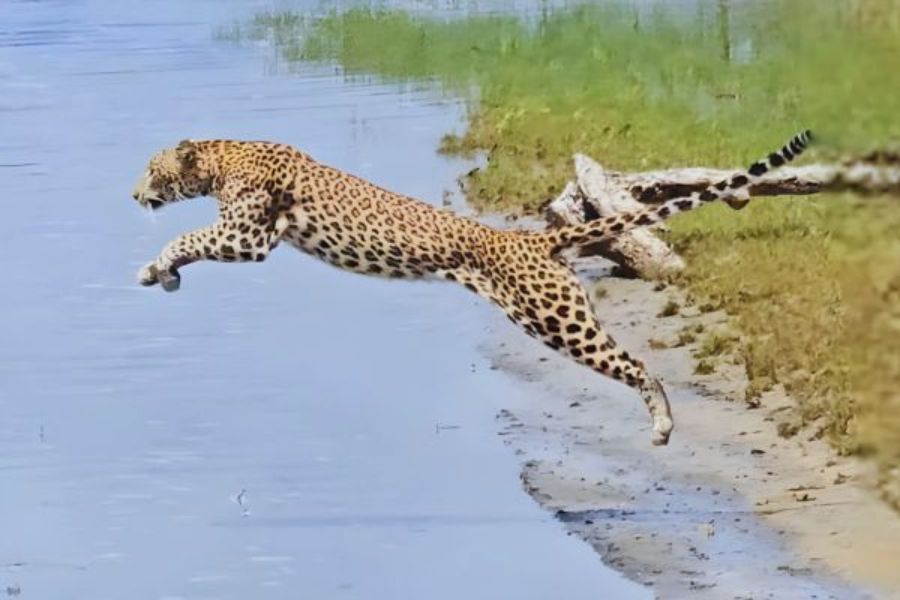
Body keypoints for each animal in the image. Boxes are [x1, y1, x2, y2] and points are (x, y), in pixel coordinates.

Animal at [132, 130, 812, 446]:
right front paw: (162, 276)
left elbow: (188, 236)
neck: (222, 156)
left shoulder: (246, 237)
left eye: (151, 170)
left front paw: (155, 267)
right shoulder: (241, 235)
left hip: (558, 320)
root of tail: (528, 239)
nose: (135, 194)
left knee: (638, 364)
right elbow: (189, 241)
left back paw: (664, 426)